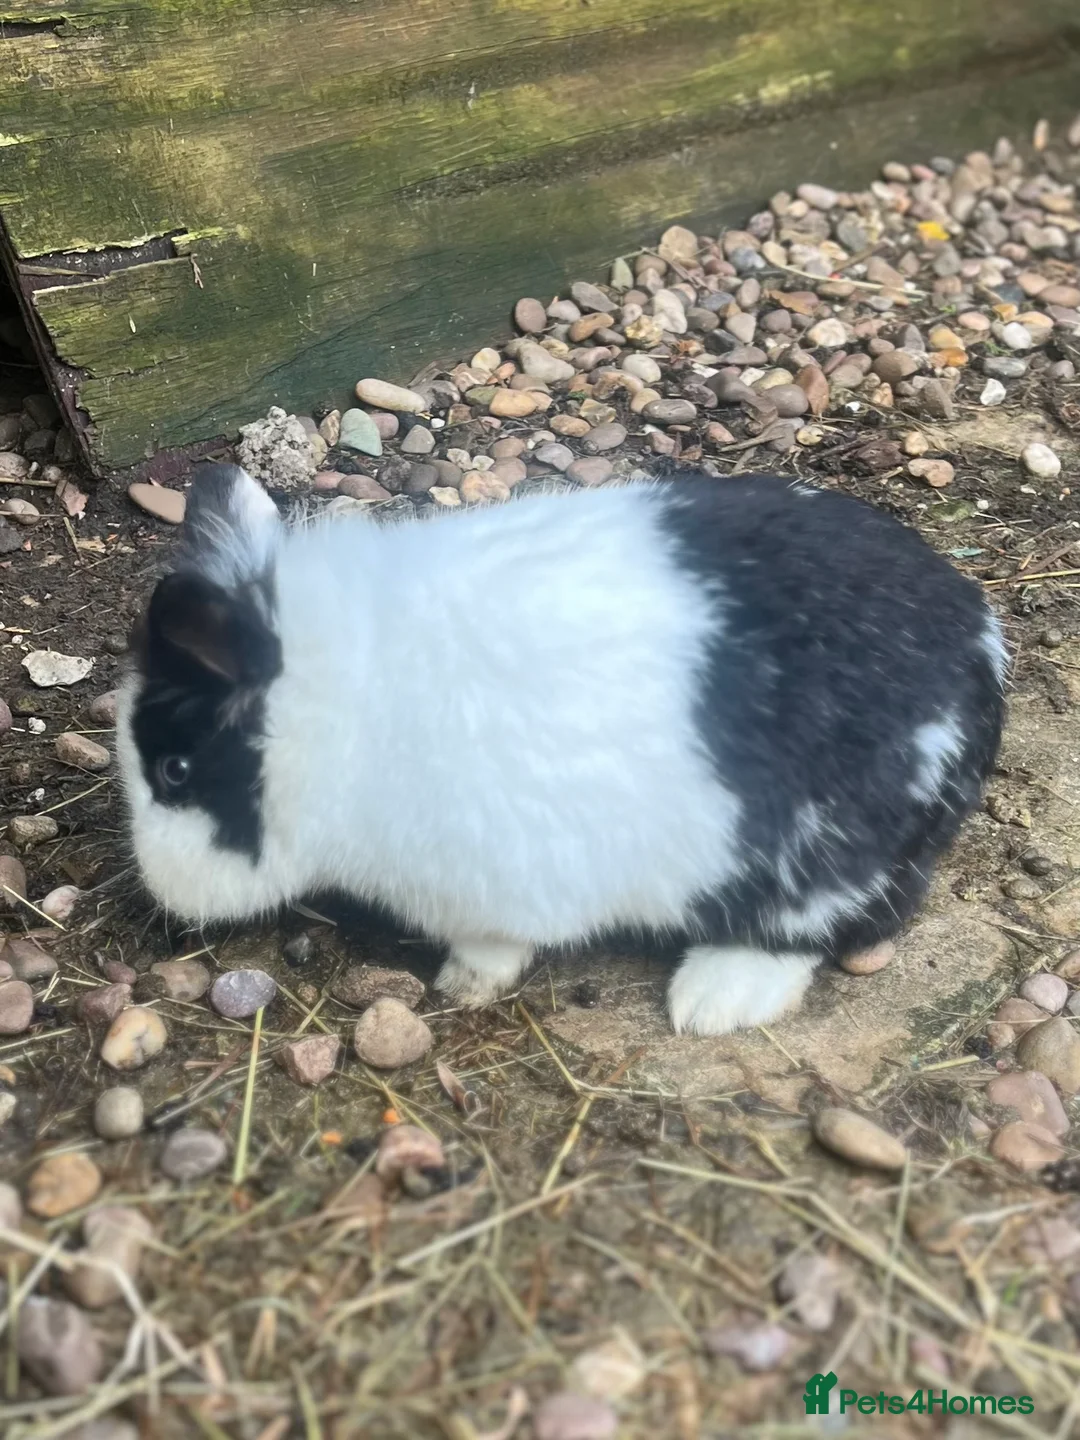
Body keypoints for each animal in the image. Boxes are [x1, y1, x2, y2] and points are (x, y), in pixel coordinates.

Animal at [116, 461, 1007, 1036]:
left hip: (819, 864)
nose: (160, 894)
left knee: (822, 929)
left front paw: (463, 985)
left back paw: (711, 1002)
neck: (341, 711)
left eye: (174, 770)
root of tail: (982, 656)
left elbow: (497, 946)